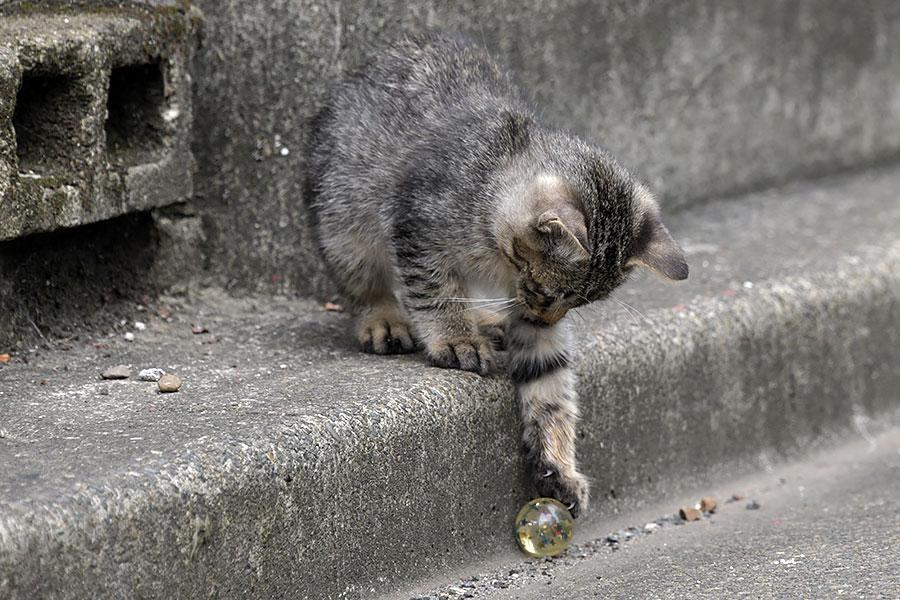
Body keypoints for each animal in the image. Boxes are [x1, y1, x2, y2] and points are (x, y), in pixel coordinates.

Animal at [304, 31, 688, 516]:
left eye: (575, 305)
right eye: (546, 292)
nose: (544, 317)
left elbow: (549, 380)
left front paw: (558, 466)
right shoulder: (417, 228)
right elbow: (432, 291)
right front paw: (456, 338)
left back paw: (486, 320)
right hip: (343, 214)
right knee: (363, 277)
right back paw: (385, 318)